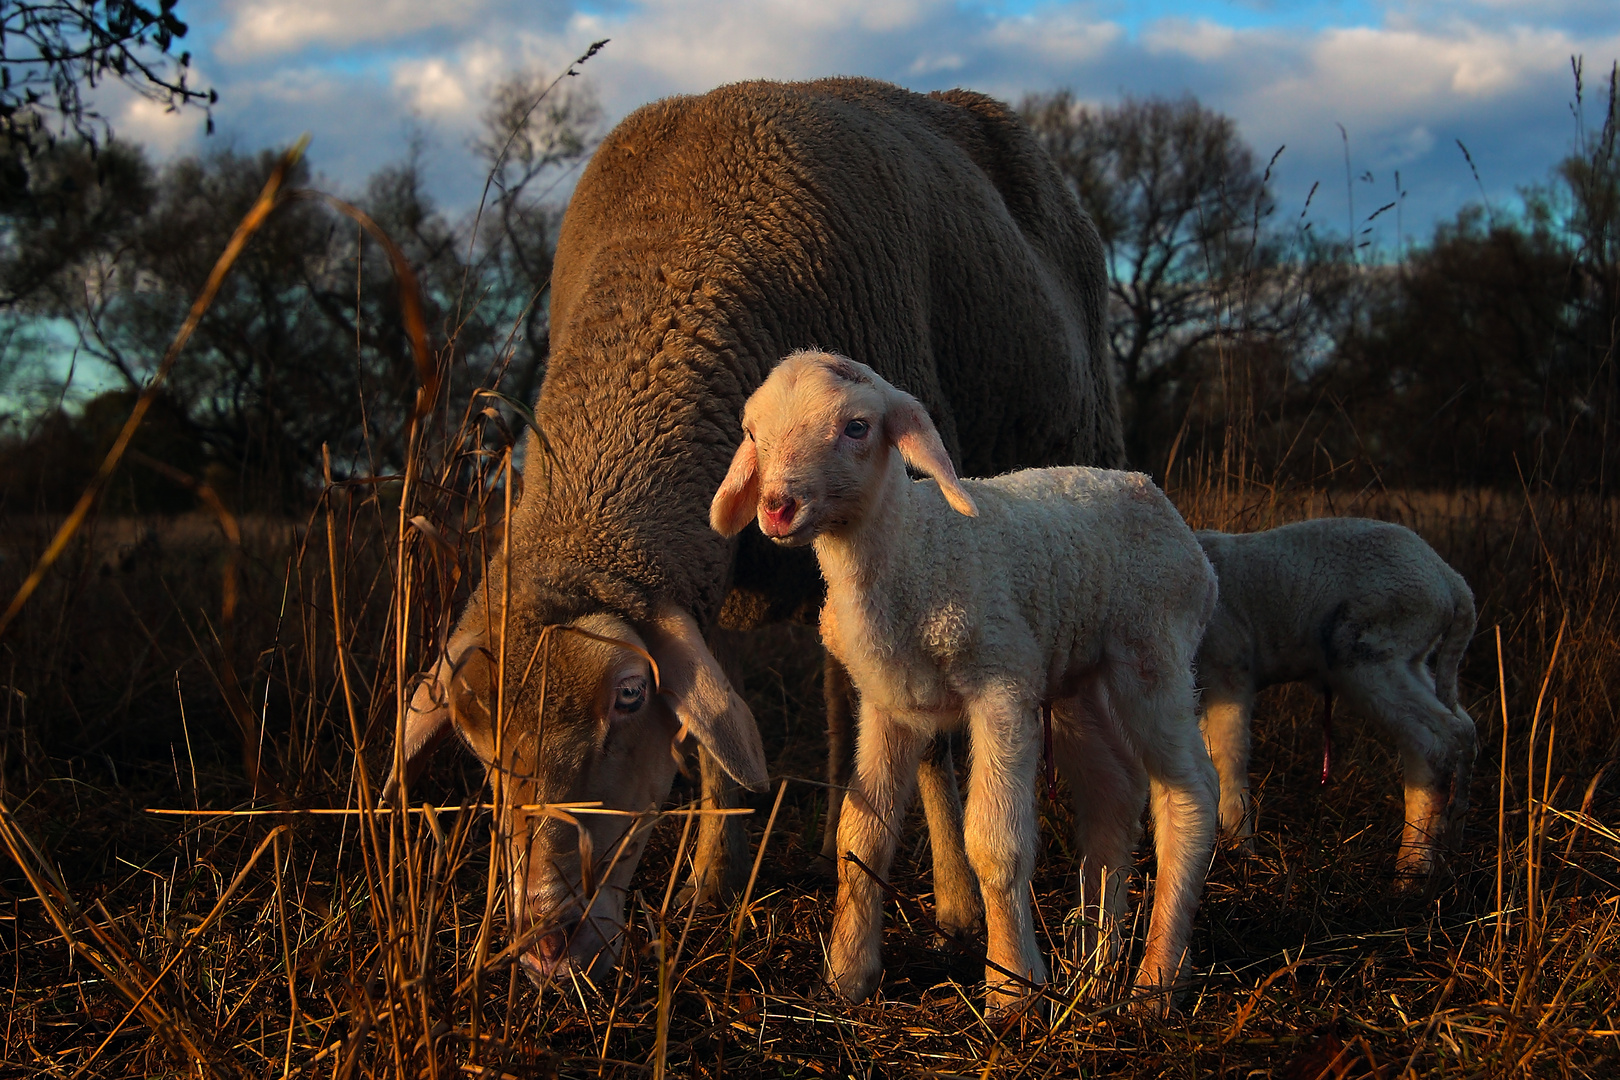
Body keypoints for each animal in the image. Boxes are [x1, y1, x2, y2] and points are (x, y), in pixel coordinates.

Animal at [383, 80, 1121, 984]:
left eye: (627, 697)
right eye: (476, 742)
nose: (546, 946)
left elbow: (908, 751)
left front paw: (934, 910)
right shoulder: (707, 587)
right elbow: (716, 750)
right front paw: (710, 885)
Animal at [709, 352, 1218, 1016]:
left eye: (856, 427)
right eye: (751, 433)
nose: (776, 506)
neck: (914, 550)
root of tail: (1152, 493)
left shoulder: (1001, 685)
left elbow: (996, 844)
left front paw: (1011, 987)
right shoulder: (887, 704)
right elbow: (861, 838)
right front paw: (846, 977)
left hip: (1152, 652)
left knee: (1190, 792)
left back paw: (1155, 980)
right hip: (1080, 679)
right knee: (1112, 796)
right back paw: (1095, 961)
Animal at [1192, 518, 1483, 880]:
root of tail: (1452, 582)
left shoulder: (1229, 669)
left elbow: (1227, 758)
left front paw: (1240, 849)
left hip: (1367, 651)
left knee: (1439, 741)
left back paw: (1411, 868)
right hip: (1407, 659)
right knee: (1459, 730)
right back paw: (1444, 843)